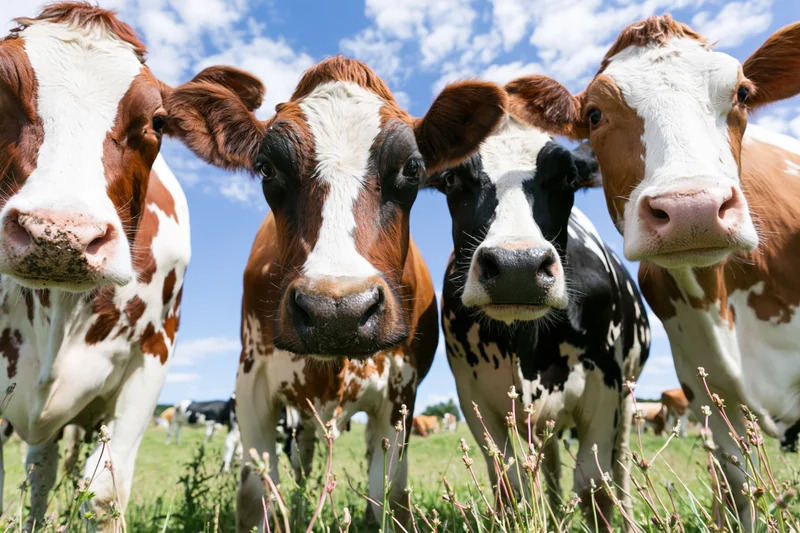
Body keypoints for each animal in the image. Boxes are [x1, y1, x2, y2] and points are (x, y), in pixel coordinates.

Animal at [159, 54, 506, 531]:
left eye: (412, 168)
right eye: (267, 168)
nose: (336, 310)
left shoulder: (401, 392)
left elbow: (388, 495)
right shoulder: (251, 383)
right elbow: (254, 495)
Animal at [427, 77, 650, 526]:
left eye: (567, 177)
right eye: (452, 179)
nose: (518, 266)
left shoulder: (606, 388)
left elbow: (594, 485)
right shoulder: (474, 397)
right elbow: (509, 483)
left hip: (628, 394)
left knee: (619, 464)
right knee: (547, 464)